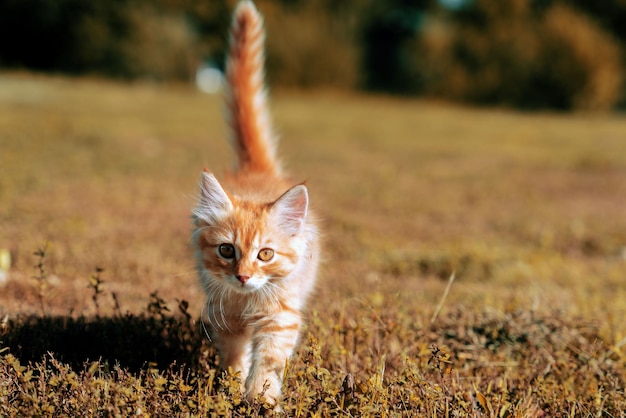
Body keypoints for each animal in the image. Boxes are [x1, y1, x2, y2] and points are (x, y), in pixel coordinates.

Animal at [191, 0, 320, 404]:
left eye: (266, 254)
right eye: (226, 251)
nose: (243, 276)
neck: (247, 303)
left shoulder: (281, 319)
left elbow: (268, 364)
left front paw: (261, 400)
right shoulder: (225, 319)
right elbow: (235, 359)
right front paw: (230, 392)